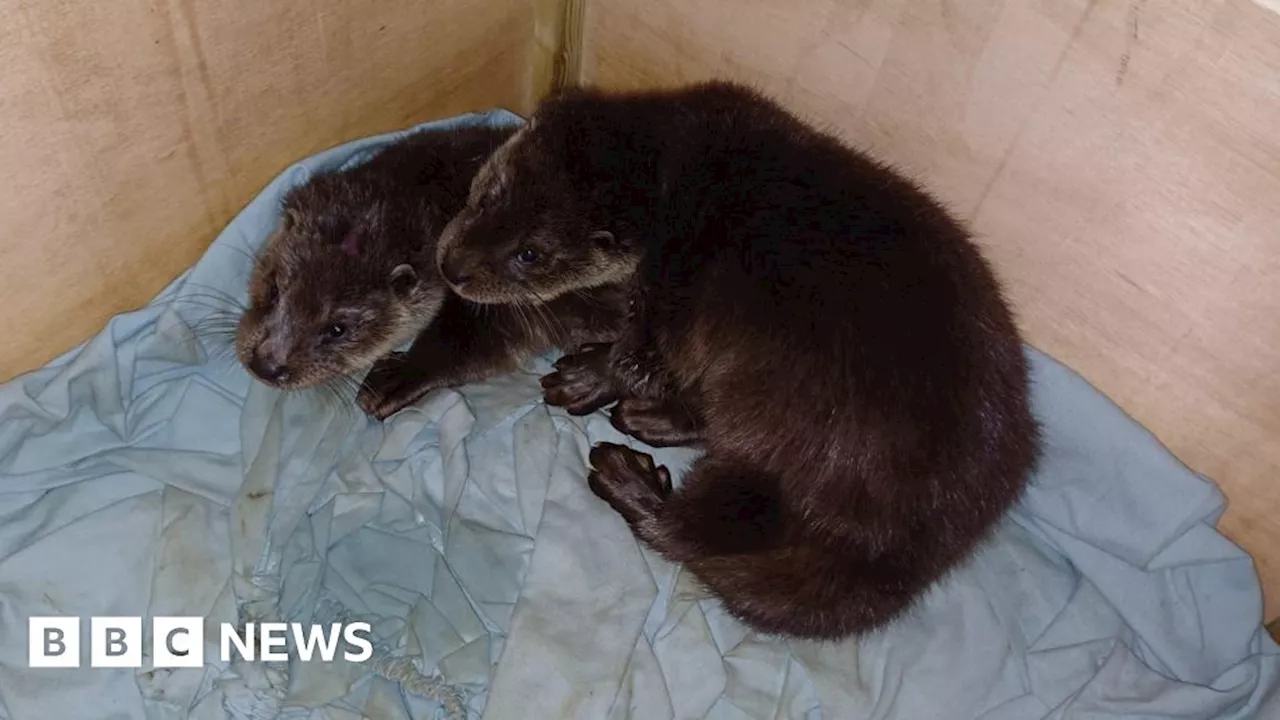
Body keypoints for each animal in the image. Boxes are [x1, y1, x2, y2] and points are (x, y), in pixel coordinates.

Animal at [235, 122, 629, 415]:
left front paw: (396, 378)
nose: (267, 365)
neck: (435, 198)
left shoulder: (495, 306)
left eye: (337, 328)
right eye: (274, 289)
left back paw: (584, 380)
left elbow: (465, 346)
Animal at [435, 81, 1044, 635]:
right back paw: (650, 421)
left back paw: (631, 477)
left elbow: (637, 354)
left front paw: (590, 376)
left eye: (530, 254)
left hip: (786, 420)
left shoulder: (667, 290)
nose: (451, 267)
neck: (678, 173)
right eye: (488, 192)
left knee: (704, 528)